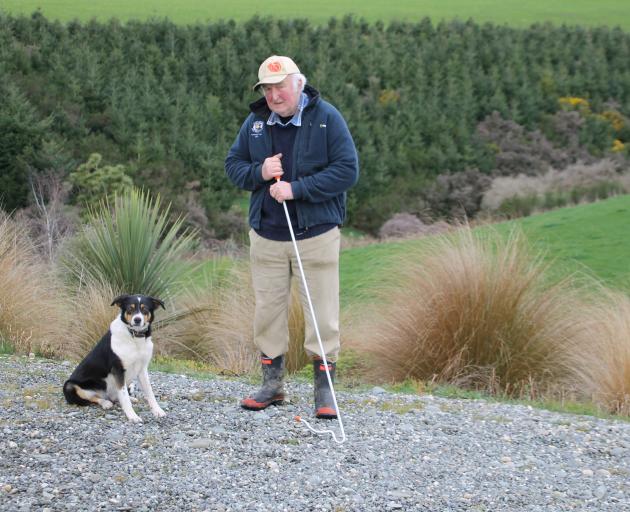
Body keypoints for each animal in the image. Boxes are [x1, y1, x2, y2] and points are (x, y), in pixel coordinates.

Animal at [63, 294, 167, 422]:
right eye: (130, 308)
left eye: (145, 309)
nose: (137, 320)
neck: (134, 337)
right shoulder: (118, 370)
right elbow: (124, 395)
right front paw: (132, 415)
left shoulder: (142, 369)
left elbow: (149, 392)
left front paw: (157, 410)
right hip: (69, 386)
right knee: (94, 398)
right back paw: (105, 403)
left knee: (115, 396)